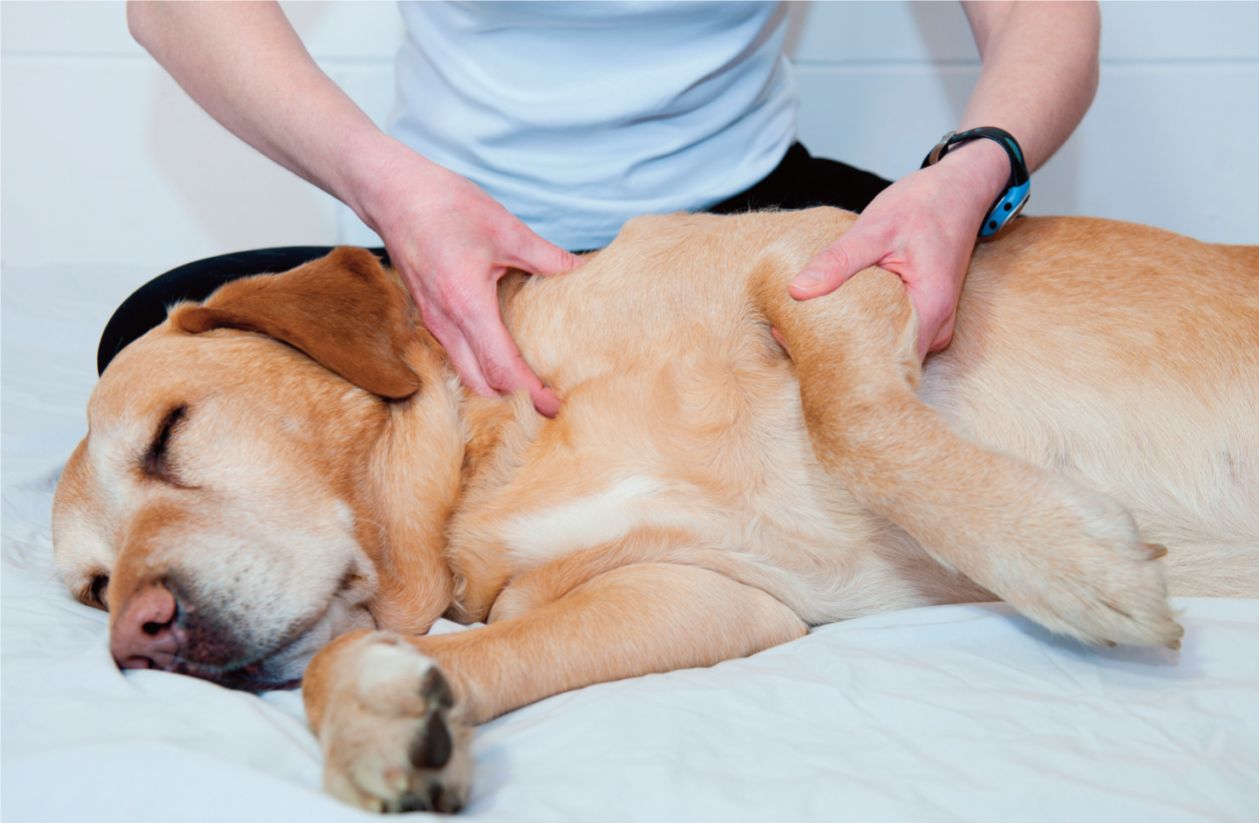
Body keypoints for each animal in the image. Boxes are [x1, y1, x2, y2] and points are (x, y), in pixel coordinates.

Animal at [51, 208, 1259, 812]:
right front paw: (379, 717)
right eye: (91, 588)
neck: (497, 457)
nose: (137, 638)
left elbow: (851, 418)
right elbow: (390, 659)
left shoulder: (821, 258)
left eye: (167, 433)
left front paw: (1067, 563)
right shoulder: (702, 597)